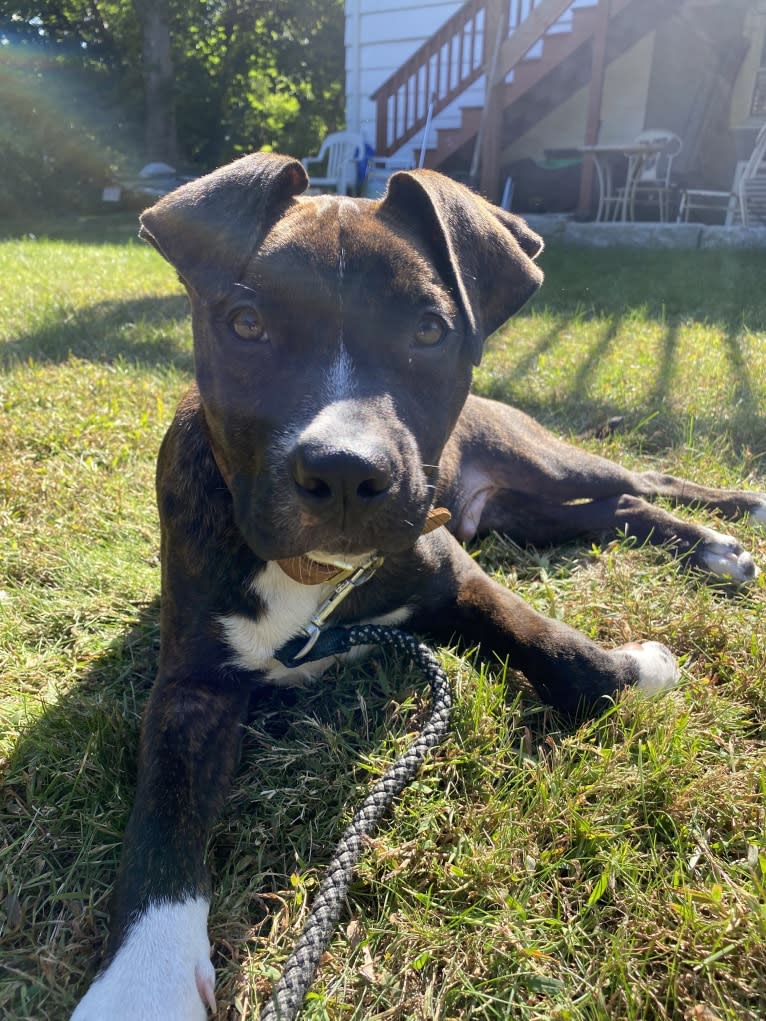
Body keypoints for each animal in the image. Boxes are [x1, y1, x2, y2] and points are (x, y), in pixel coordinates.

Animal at [68, 153, 763, 1021]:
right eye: (247, 323)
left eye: (430, 330)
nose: (343, 471)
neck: (321, 577)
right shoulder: (192, 683)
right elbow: (164, 817)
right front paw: (142, 981)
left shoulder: (456, 577)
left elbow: (567, 657)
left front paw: (641, 668)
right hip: (525, 513)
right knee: (620, 510)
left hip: (546, 463)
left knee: (647, 478)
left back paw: (729, 529)